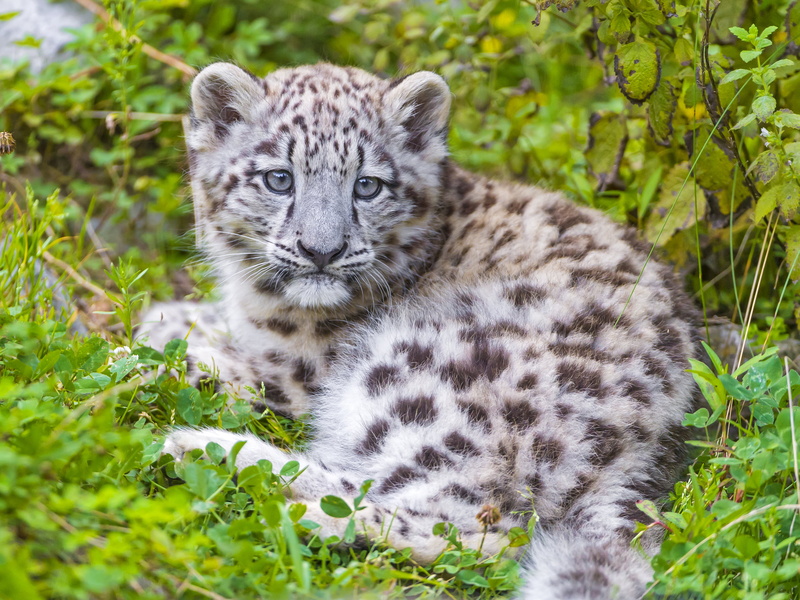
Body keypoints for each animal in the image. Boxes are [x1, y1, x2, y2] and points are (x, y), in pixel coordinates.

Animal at [140, 62, 702, 600]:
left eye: (367, 185)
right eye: (279, 178)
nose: (321, 251)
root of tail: (645, 450)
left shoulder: (295, 373)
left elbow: (206, 365)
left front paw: (147, 348)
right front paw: (164, 317)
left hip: (415, 378)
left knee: (476, 526)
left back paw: (239, 471)